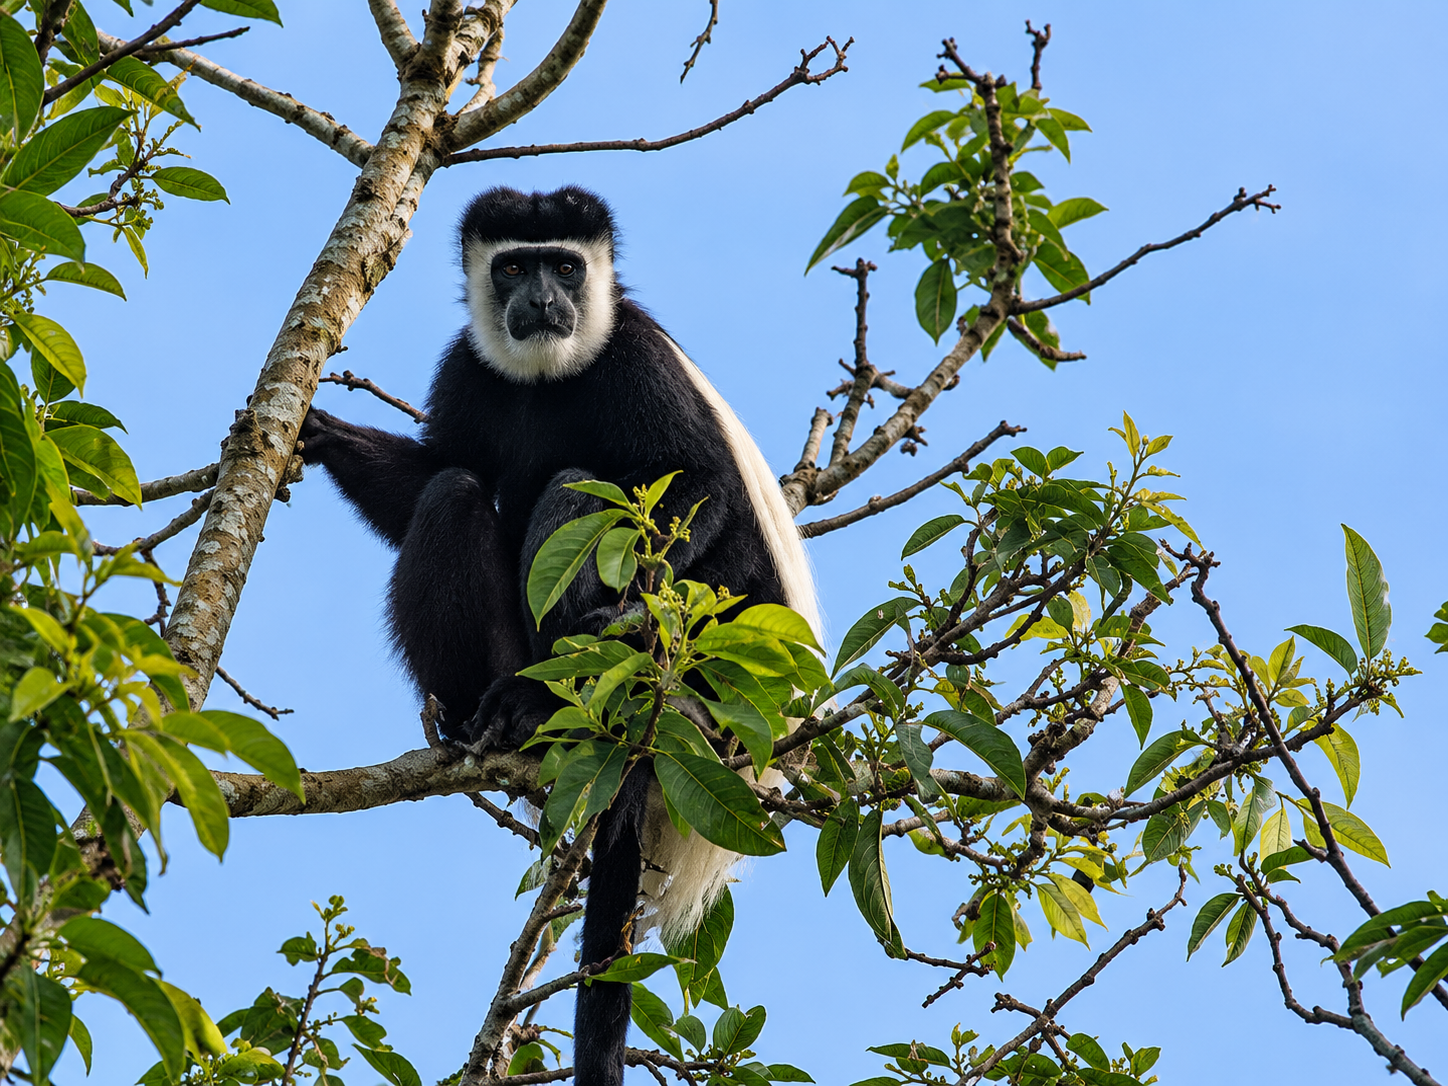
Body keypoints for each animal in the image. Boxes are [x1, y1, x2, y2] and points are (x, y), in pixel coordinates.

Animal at [298, 186, 818, 1086]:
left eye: (566, 267)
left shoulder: (637, 360)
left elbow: (698, 482)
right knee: (454, 492)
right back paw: (481, 718)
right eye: (513, 267)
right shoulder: (468, 368)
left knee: (586, 489)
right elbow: (435, 475)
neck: (552, 373)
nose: (542, 301)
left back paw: (558, 697)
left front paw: (619, 619)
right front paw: (326, 434)